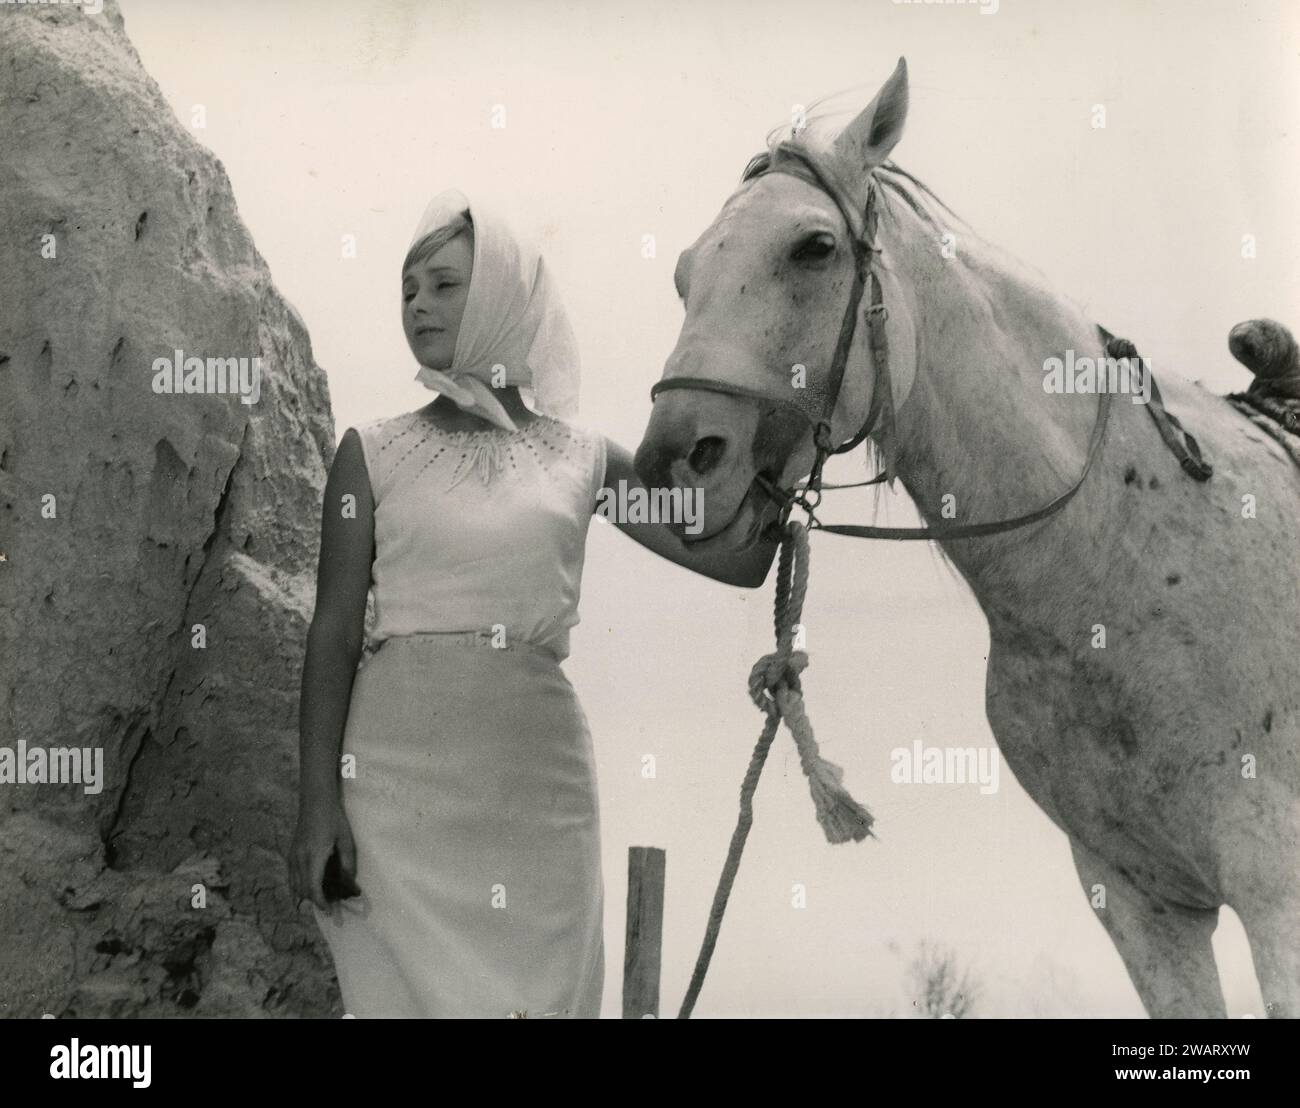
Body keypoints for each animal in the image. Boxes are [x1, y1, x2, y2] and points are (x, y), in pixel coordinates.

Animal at [633, 58, 1300, 1018]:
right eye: (687, 274)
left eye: (812, 248)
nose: (670, 464)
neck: (1118, 566)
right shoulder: (1142, 905)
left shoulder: (1275, 888)